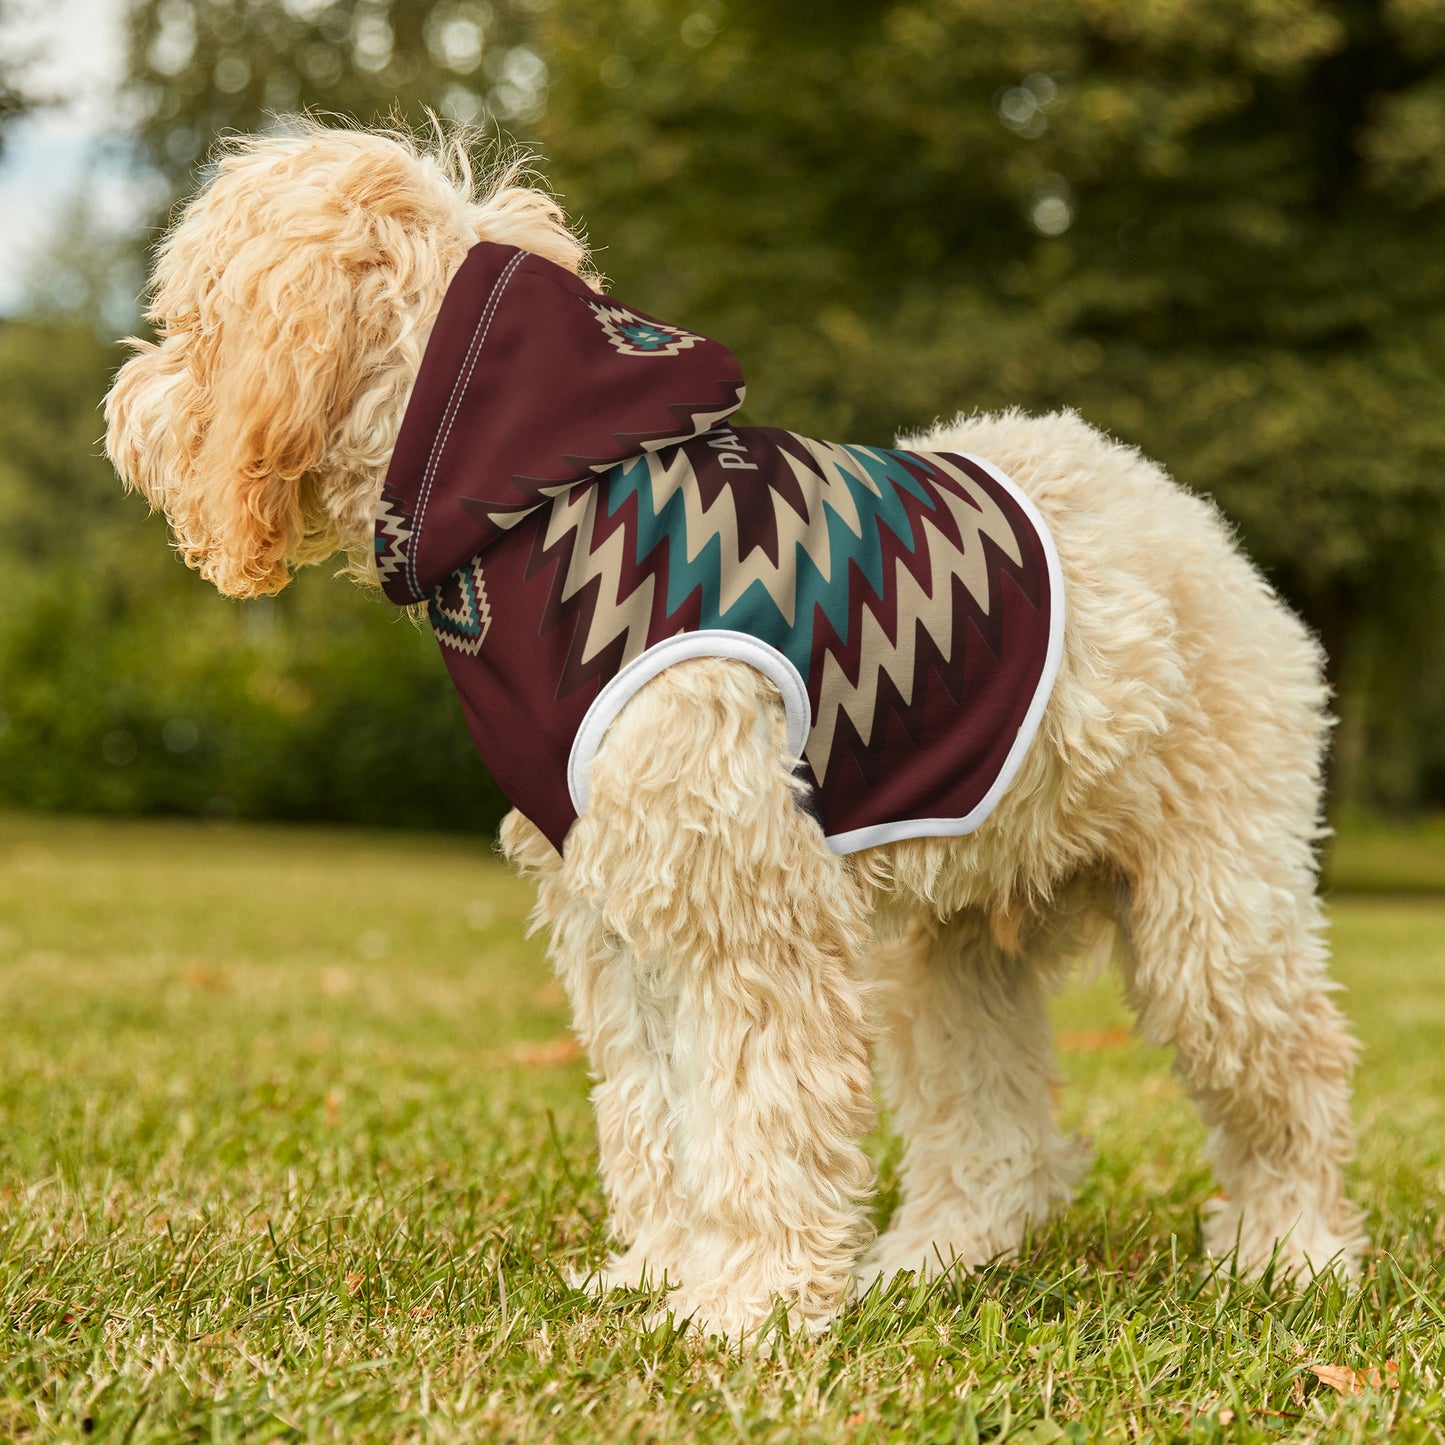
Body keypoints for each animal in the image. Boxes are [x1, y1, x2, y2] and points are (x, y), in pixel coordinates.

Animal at [104, 124, 1364, 1340]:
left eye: (191, 319)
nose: (123, 408)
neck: (539, 501)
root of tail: (1186, 517)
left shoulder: (744, 907)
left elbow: (758, 1113)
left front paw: (747, 1304)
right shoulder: (618, 913)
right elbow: (656, 1112)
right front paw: (662, 1272)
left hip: (1212, 917)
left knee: (1293, 1076)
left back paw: (1290, 1251)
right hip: (948, 949)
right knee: (995, 1133)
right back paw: (930, 1259)